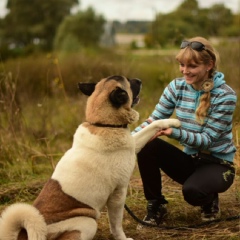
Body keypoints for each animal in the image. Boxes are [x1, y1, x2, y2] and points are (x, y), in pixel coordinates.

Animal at [0, 75, 180, 240]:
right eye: (128, 82)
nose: (140, 80)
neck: (104, 124)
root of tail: (23, 234)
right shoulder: (118, 193)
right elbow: (116, 224)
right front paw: (122, 238)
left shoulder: (133, 143)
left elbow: (152, 126)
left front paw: (173, 122)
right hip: (88, 223)